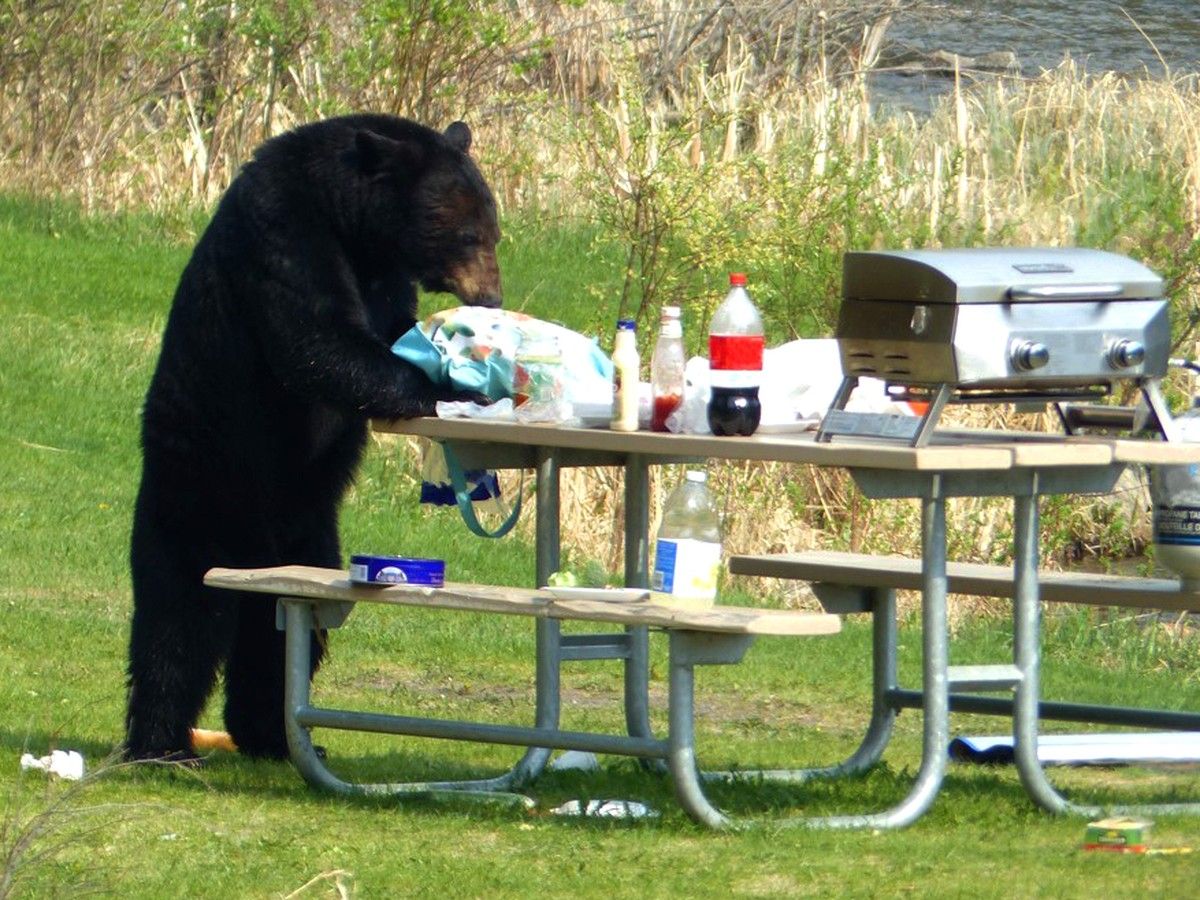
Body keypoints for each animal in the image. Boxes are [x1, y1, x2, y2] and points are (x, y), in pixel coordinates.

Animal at [125, 114, 501, 762]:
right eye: (469, 233)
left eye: (494, 230)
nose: (492, 296)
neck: (351, 224)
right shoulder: (282, 231)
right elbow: (316, 339)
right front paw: (461, 386)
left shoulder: (384, 273)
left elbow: (389, 329)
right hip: (201, 483)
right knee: (178, 615)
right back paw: (161, 745)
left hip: (306, 531)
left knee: (283, 633)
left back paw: (272, 736)